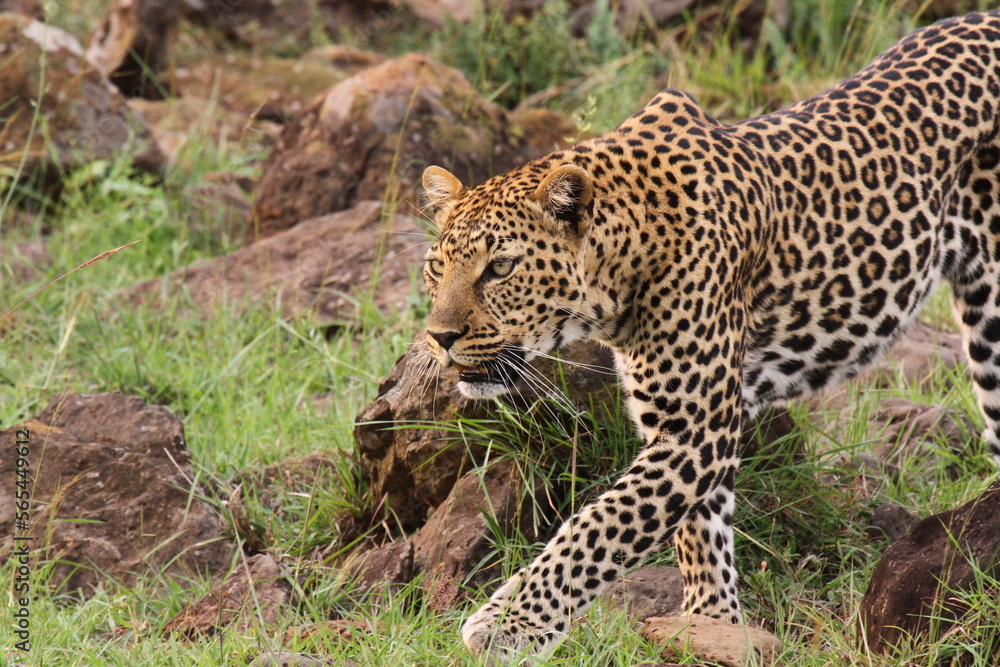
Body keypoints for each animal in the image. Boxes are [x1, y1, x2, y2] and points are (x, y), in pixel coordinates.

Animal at [419, 10, 1000, 663]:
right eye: (437, 267)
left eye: (500, 268)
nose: (439, 337)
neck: (624, 255)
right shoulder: (689, 422)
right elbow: (700, 531)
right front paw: (712, 623)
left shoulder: (696, 430)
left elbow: (597, 529)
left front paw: (505, 624)